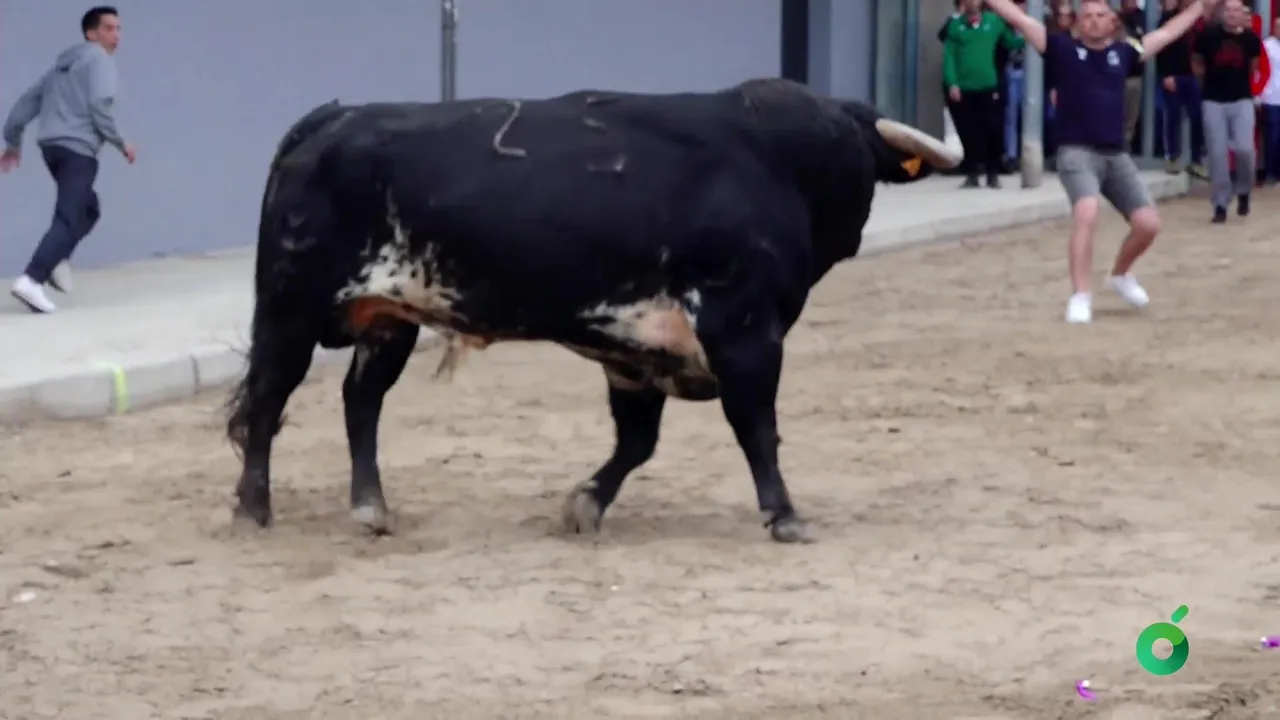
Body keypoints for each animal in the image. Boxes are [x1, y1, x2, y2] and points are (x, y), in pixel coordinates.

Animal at [224, 78, 961, 544]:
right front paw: (784, 515)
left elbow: (637, 441)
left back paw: (371, 507)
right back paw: (253, 510)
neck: (770, 164)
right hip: (291, 307)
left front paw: (585, 503)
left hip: (388, 318)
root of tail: (333, 118)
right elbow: (757, 426)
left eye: (853, 157)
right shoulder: (745, 331)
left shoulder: (635, 349)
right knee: (269, 398)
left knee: (361, 399)